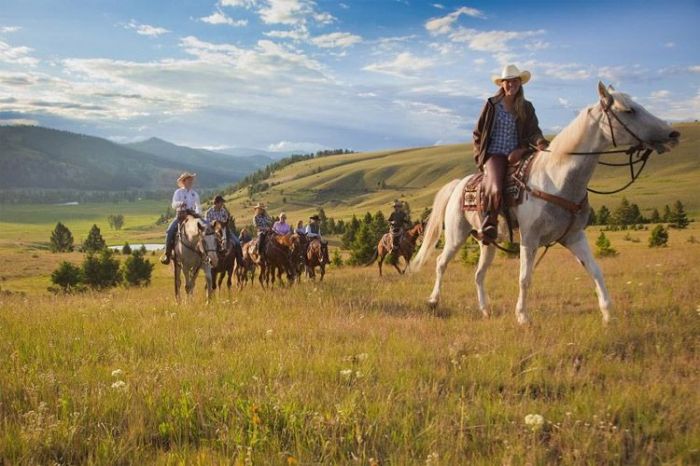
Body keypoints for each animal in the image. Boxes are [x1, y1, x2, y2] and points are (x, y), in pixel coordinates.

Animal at [410, 83, 680, 324]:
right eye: (629, 110)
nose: (673, 134)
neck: (557, 177)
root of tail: (459, 184)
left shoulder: (574, 236)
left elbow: (595, 270)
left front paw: (608, 314)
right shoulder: (530, 238)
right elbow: (524, 278)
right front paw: (522, 317)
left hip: (487, 241)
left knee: (478, 274)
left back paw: (485, 310)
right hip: (456, 235)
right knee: (441, 263)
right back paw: (433, 301)